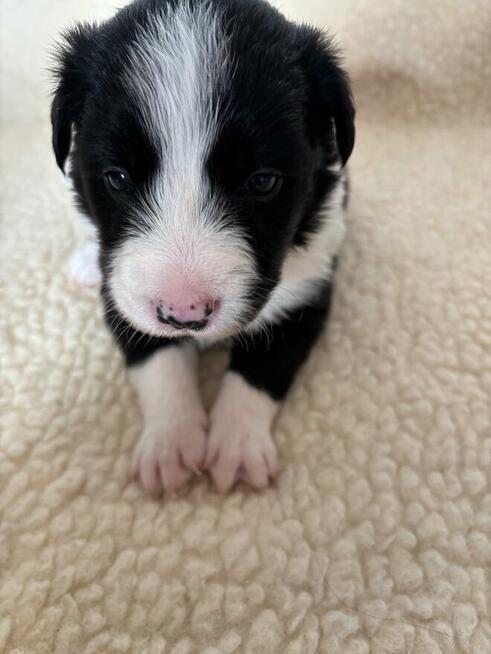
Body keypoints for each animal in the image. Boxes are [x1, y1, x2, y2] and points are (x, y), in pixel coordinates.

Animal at [52, 0, 356, 492]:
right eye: (117, 177)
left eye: (263, 181)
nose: (184, 313)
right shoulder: (122, 293)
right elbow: (156, 358)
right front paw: (170, 443)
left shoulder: (308, 287)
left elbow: (262, 367)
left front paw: (237, 446)